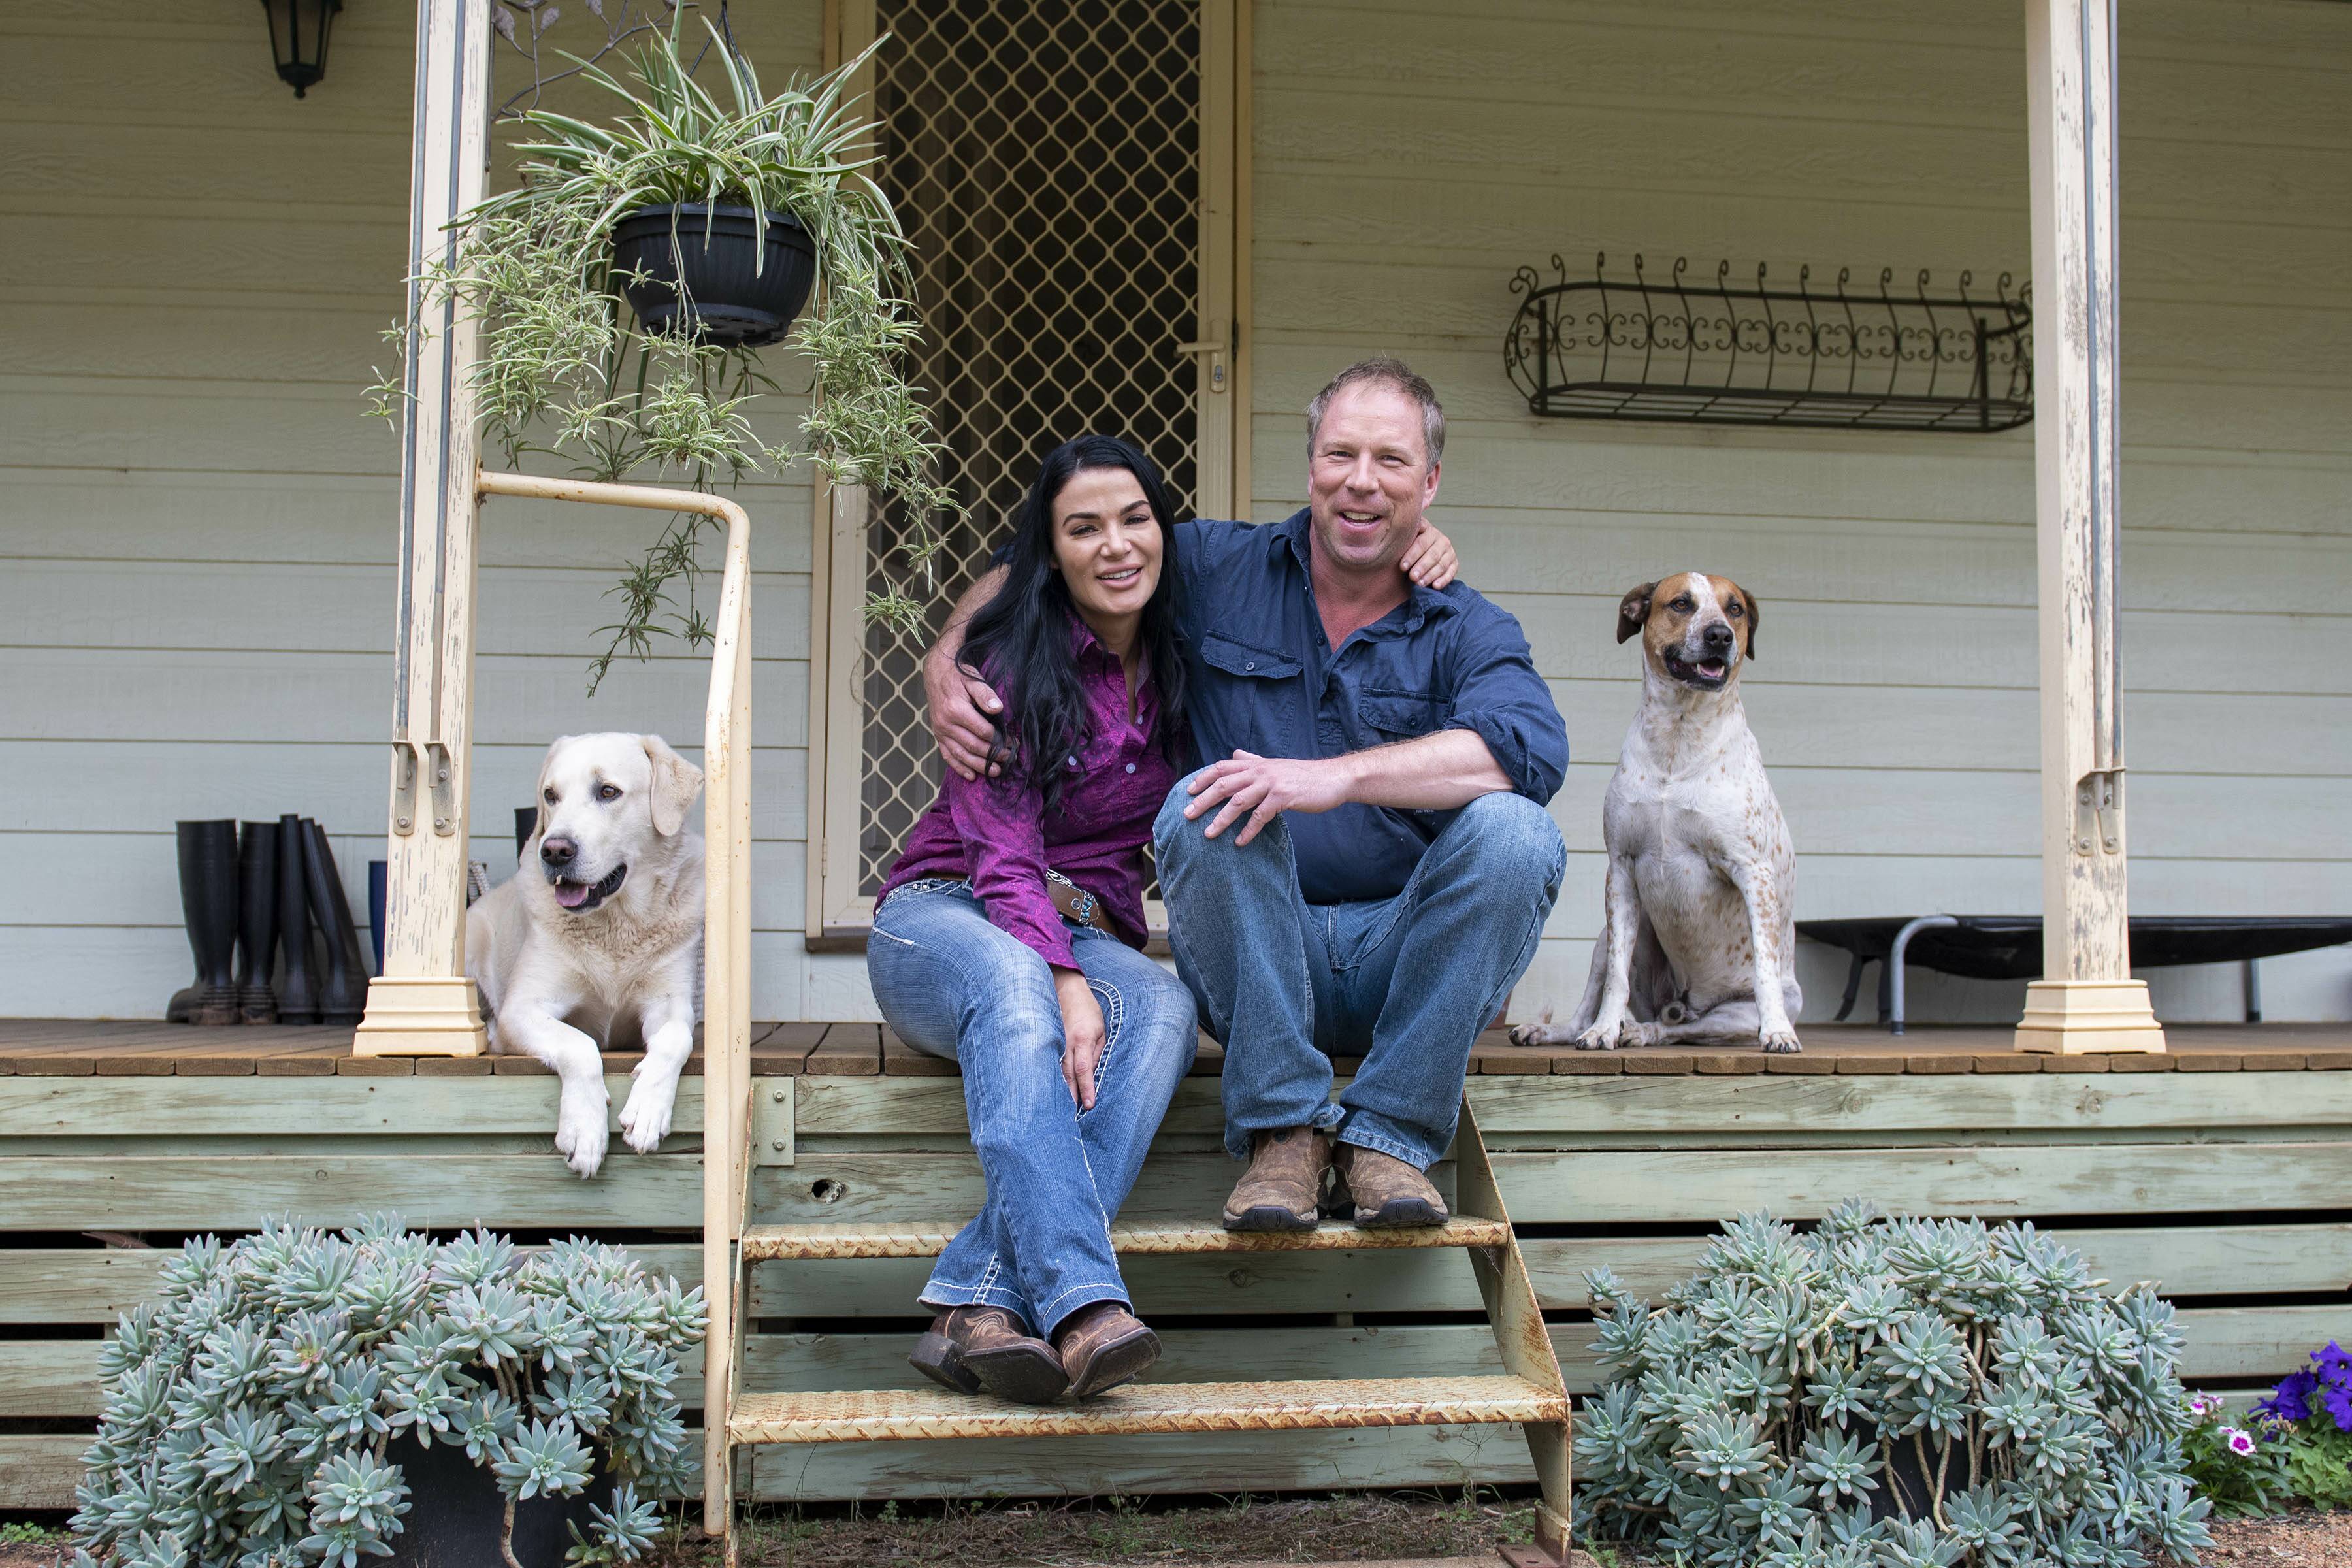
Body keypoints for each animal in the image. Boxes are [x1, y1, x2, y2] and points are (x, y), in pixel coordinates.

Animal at [465, 738, 700, 1175]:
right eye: (550, 796)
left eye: (608, 791)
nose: (554, 850)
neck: (616, 925)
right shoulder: (522, 1009)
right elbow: (579, 1045)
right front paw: (585, 1132)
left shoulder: (671, 1003)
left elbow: (676, 1039)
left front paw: (647, 1112)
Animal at [1505, 576, 1797, 1053]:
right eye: (1681, 603)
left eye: (1735, 609)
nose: (1720, 636)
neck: (1679, 736)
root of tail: (1682, 1001)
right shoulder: (1621, 870)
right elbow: (1615, 979)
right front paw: (1603, 1030)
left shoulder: (1753, 873)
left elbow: (1765, 967)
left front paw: (1778, 1032)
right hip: (1609, 935)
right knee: (1602, 1001)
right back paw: (1559, 1030)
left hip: (1729, 1016)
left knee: (1679, 1031)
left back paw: (1643, 1031)